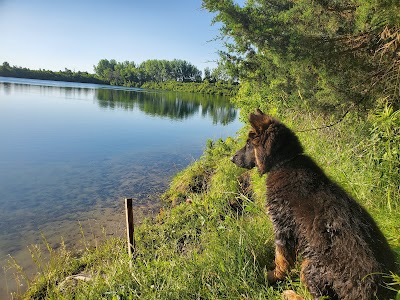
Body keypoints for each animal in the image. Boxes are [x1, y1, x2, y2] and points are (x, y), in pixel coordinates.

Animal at [231, 109, 396, 300]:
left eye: (249, 144)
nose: (231, 158)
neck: (285, 162)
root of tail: (375, 293)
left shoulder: (283, 228)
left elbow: (281, 259)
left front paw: (272, 277)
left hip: (311, 265)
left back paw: (289, 293)